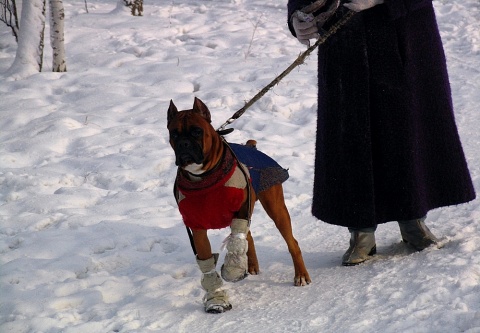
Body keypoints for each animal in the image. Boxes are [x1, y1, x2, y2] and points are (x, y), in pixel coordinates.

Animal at [168, 97, 312, 312]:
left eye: (196, 131)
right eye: (174, 133)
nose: (183, 143)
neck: (204, 177)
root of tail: (252, 147)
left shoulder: (241, 210)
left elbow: (236, 239)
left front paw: (233, 269)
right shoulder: (198, 228)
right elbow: (207, 264)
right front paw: (216, 299)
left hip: (276, 209)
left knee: (291, 242)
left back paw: (300, 275)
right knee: (249, 237)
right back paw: (250, 265)